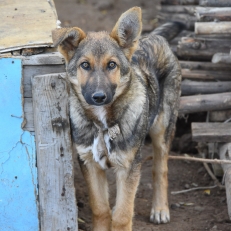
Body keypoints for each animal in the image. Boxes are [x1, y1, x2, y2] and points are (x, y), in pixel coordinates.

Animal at [52, 7, 182, 231]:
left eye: (111, 65)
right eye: (85, 65)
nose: (98, 97)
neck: (102, 124)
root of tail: (155, 37)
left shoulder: (129, 168)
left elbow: (123, 215)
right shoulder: (89, 164)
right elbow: (100, 209)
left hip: (163, 128)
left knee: (160, 168)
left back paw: (160, 209)